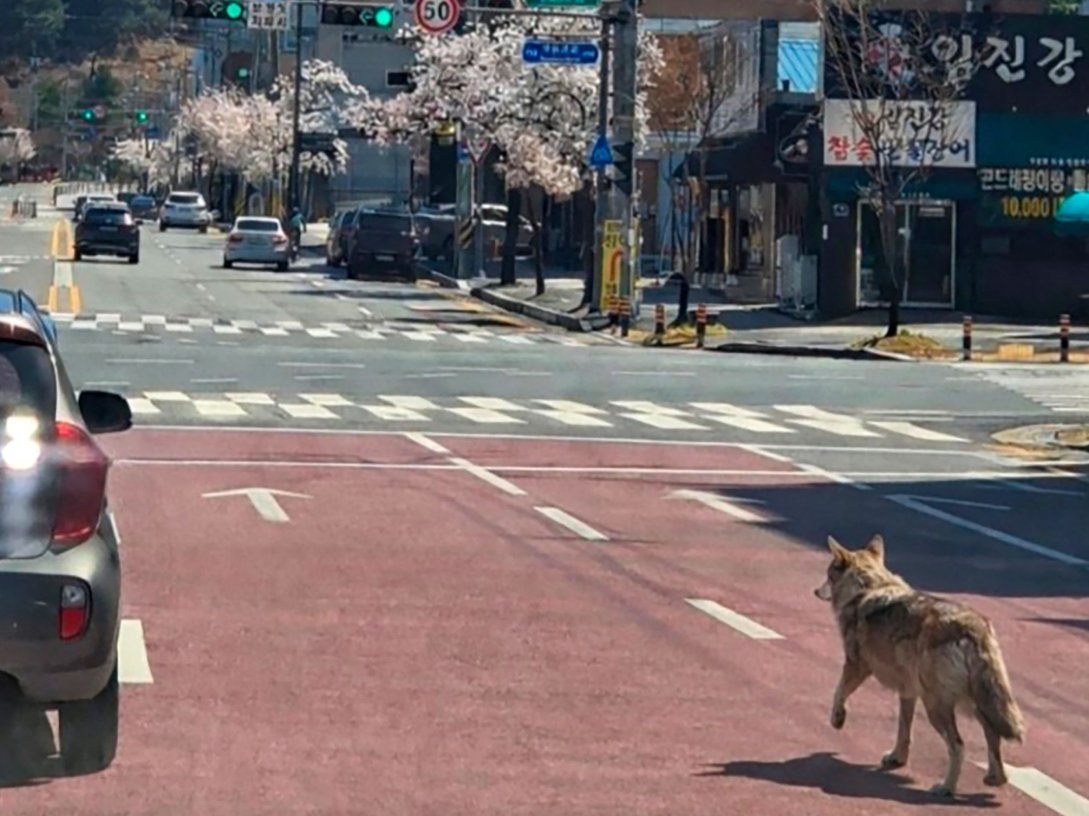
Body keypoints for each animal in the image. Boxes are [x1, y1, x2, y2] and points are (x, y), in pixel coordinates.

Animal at [814, 534, 1025, 797]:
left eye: (827, 574)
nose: (814, 591)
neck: (868, 587)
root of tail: (973, 628)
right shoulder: (907, 692)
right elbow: (904, 731)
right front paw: (897, 758)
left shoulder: (856, 666)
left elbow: (838, 693)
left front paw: (837, 719)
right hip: (974, 703)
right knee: (993, 735)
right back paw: (995, 778)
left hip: (936, 706)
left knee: (958, 746)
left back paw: (946, 788)